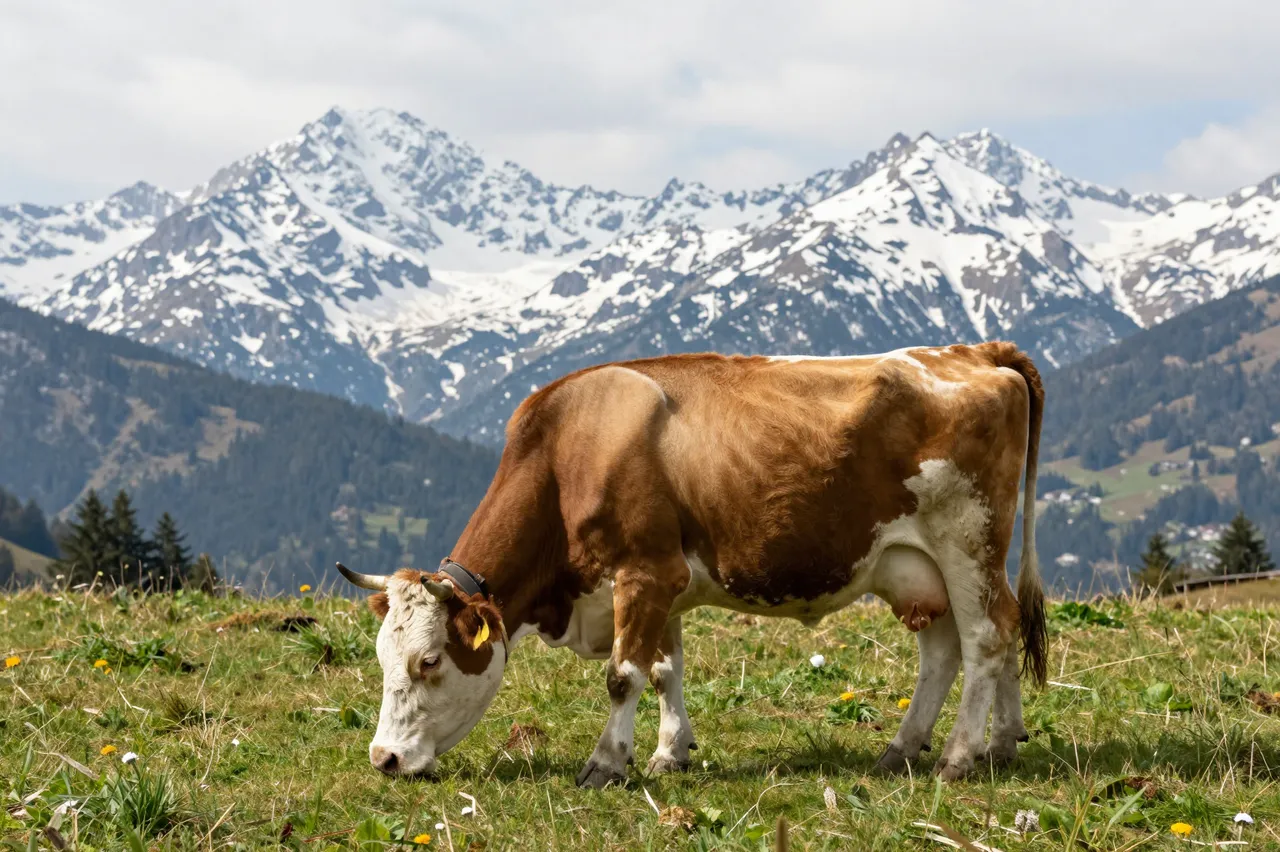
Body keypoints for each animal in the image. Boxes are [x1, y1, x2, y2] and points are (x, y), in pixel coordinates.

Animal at [337, 341, 1047, 786]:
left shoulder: (645, 573)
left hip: (968, 539)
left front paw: (607, 763)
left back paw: (959, 757)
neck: (567, 449)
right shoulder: (663, 584)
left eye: (429, 661)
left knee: (988, 636)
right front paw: (669, 752)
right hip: (915, 565)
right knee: (956, 646)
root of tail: (974, 351)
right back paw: (954, 746)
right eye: (379, 657)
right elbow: (662, 670)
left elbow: (623, 675)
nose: (384, 758)